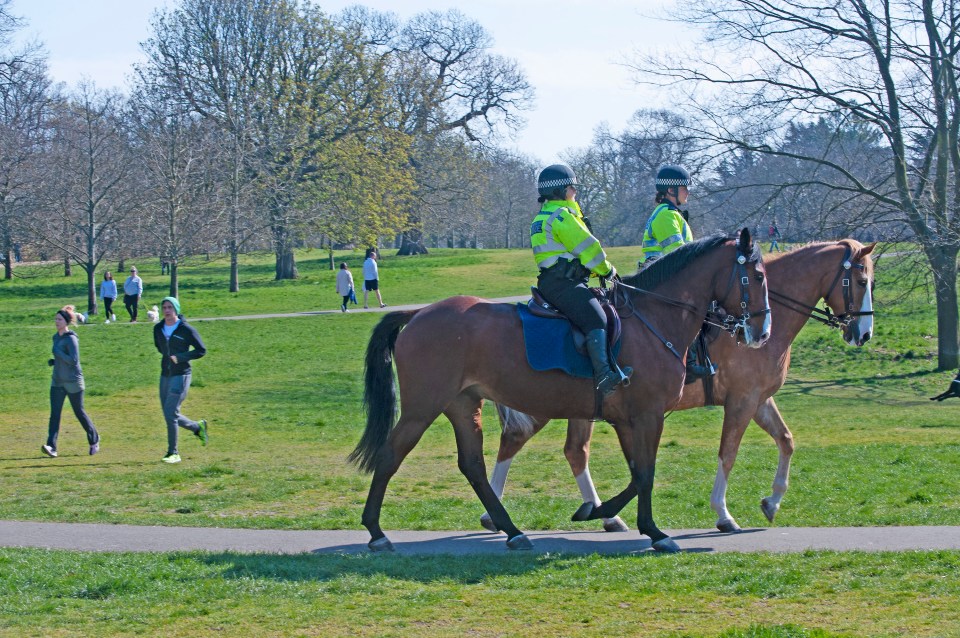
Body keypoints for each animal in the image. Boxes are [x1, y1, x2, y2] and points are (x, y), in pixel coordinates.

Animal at [352, 231, 772, 556]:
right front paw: (651, 531)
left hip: (463, 405)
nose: (762, 331)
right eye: (758, 275)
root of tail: (419, 313)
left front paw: (603, 512)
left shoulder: (628, 420)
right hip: (422, 408)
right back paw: (376, 532)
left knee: (472, 466)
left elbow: (637, 473)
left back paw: (512, 531)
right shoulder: (647, 416)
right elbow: (645, 474)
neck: (653, 319)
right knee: (390, 456)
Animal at [484, 240, 872, 536]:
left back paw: (600, 514)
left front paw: (772, 501)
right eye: (861, 279)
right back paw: (499, 513)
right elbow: (728, 453)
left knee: (572, 451)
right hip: (547, 403)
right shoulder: (741, 400)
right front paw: (723, 513)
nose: (864, 333)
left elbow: (786, 440)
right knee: (520, 440)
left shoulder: (759, 399)